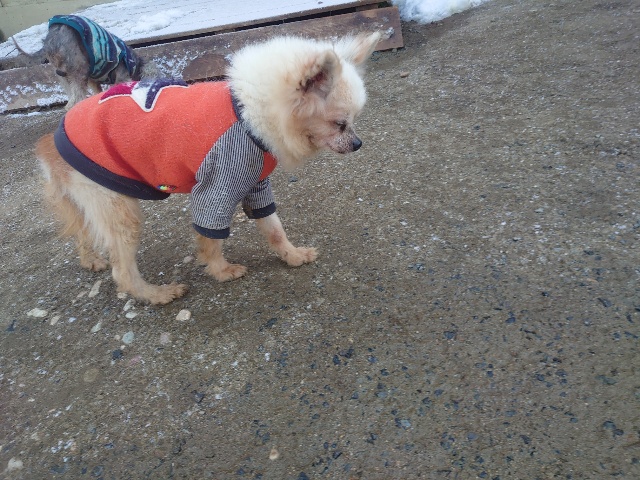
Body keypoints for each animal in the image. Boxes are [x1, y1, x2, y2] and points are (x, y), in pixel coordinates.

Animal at [13, 14, 157, 109]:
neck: (134, 63)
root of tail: (52, 40)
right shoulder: (121, 77)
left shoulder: (93, 80)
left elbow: (98, 92)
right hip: (79, 69)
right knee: (74, 101)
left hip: (64, 75)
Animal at [36, 32, 381, 304]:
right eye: (340, 124)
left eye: (354, 121)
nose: (358, 143)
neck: (246, 113)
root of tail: (51, 142)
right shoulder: (217, 186)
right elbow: (211, 237)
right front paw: (221, 271)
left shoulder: (255, 184)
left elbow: (274, 228)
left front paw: (292, 256)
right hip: (117, 207)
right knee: (122, 271)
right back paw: (157, 294)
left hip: (88, 201)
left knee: (83, 232)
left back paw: (91, 260)